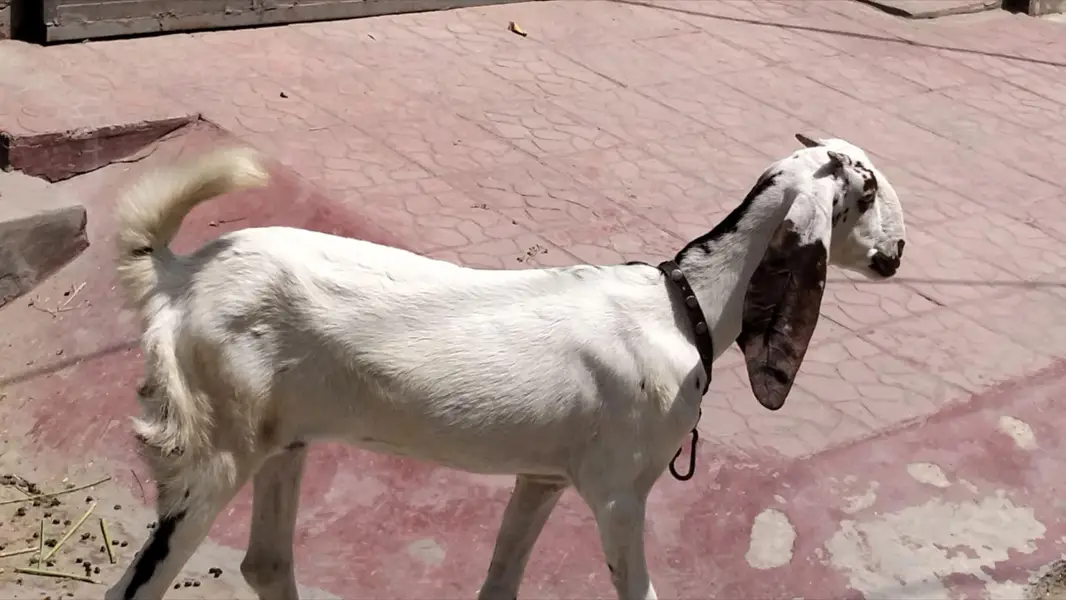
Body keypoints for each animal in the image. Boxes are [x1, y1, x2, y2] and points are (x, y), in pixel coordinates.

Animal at [105, 134, 906, 600]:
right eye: (866, 191)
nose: (896, 255)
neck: (686, 307)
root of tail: (176, 276)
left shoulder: (543, 477)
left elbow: (502, 580)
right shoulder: (618, 494)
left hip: (282, 441)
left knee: (266, 564)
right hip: (213, 451)